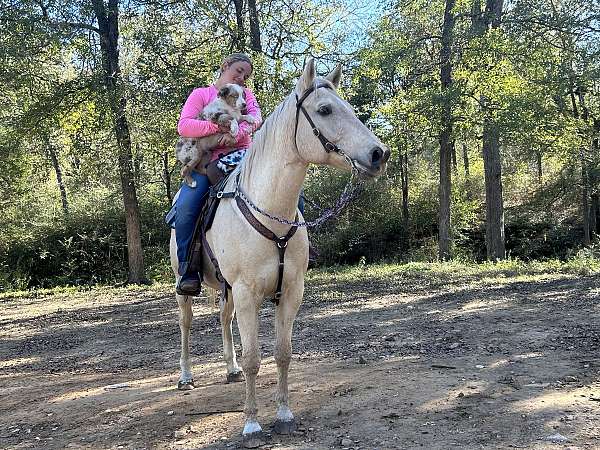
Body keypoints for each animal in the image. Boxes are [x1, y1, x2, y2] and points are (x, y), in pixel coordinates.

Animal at [168, 59, 390, 446]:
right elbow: (255, 358)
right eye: (325, 109)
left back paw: (230, 369)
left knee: (224, 320)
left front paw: (284, 415)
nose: (379, 154)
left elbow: (283, 354)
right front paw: (252, 424)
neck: (269, 210)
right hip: (187, 284)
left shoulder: (289, 292)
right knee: (186, 323)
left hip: (227, 290)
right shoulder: (247, 293)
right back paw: (186, 375)